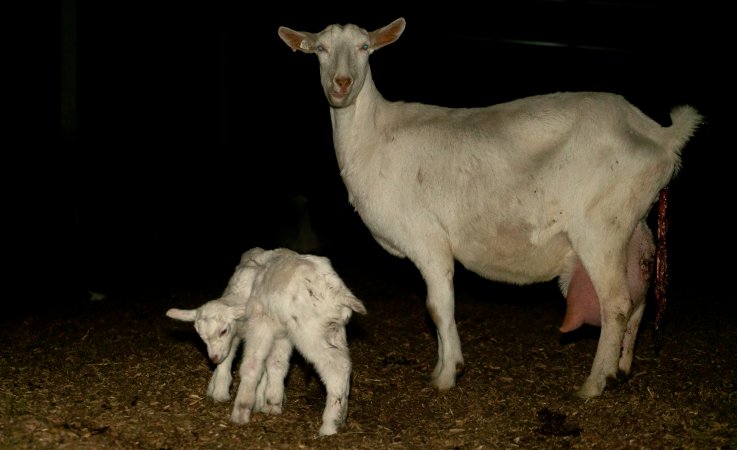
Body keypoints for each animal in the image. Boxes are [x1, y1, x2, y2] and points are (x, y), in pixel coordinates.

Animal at [165, 248, 366, 434]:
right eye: (201, 336)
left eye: (223, 331)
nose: (213, 358)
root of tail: (339, 292)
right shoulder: (280, 334)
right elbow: (275, 365)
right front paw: (269, 403)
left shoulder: (260, 325)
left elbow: (251, 365)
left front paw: (241, 407)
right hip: (334, 331)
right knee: (345, 365)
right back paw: (341, 418)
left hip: (311, 332)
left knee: (335, 370)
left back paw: (329, 426)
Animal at [278, 16, 700, 398]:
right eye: (320, 49)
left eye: (365, 47)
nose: (342, 83)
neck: (374, 137)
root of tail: (659, 135)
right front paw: (441, 368)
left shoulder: (427, 238)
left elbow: (438, 307)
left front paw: (448, 375)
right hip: (634, 224)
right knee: (639, 295)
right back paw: (621, 369)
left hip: (600, 227)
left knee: (616, 303)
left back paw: (594, 384)